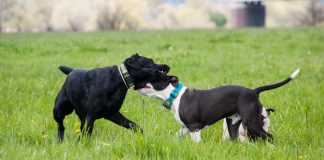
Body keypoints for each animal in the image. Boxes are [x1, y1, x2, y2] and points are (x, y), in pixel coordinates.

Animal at [138, 68, 300, 142]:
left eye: (152, 74)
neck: (175, 95)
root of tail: (254, 91)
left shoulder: (194, 127)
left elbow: (197, 142)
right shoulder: (185, 127)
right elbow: (176, 136)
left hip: (251, 123)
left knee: (269, 136)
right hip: (233, 123)